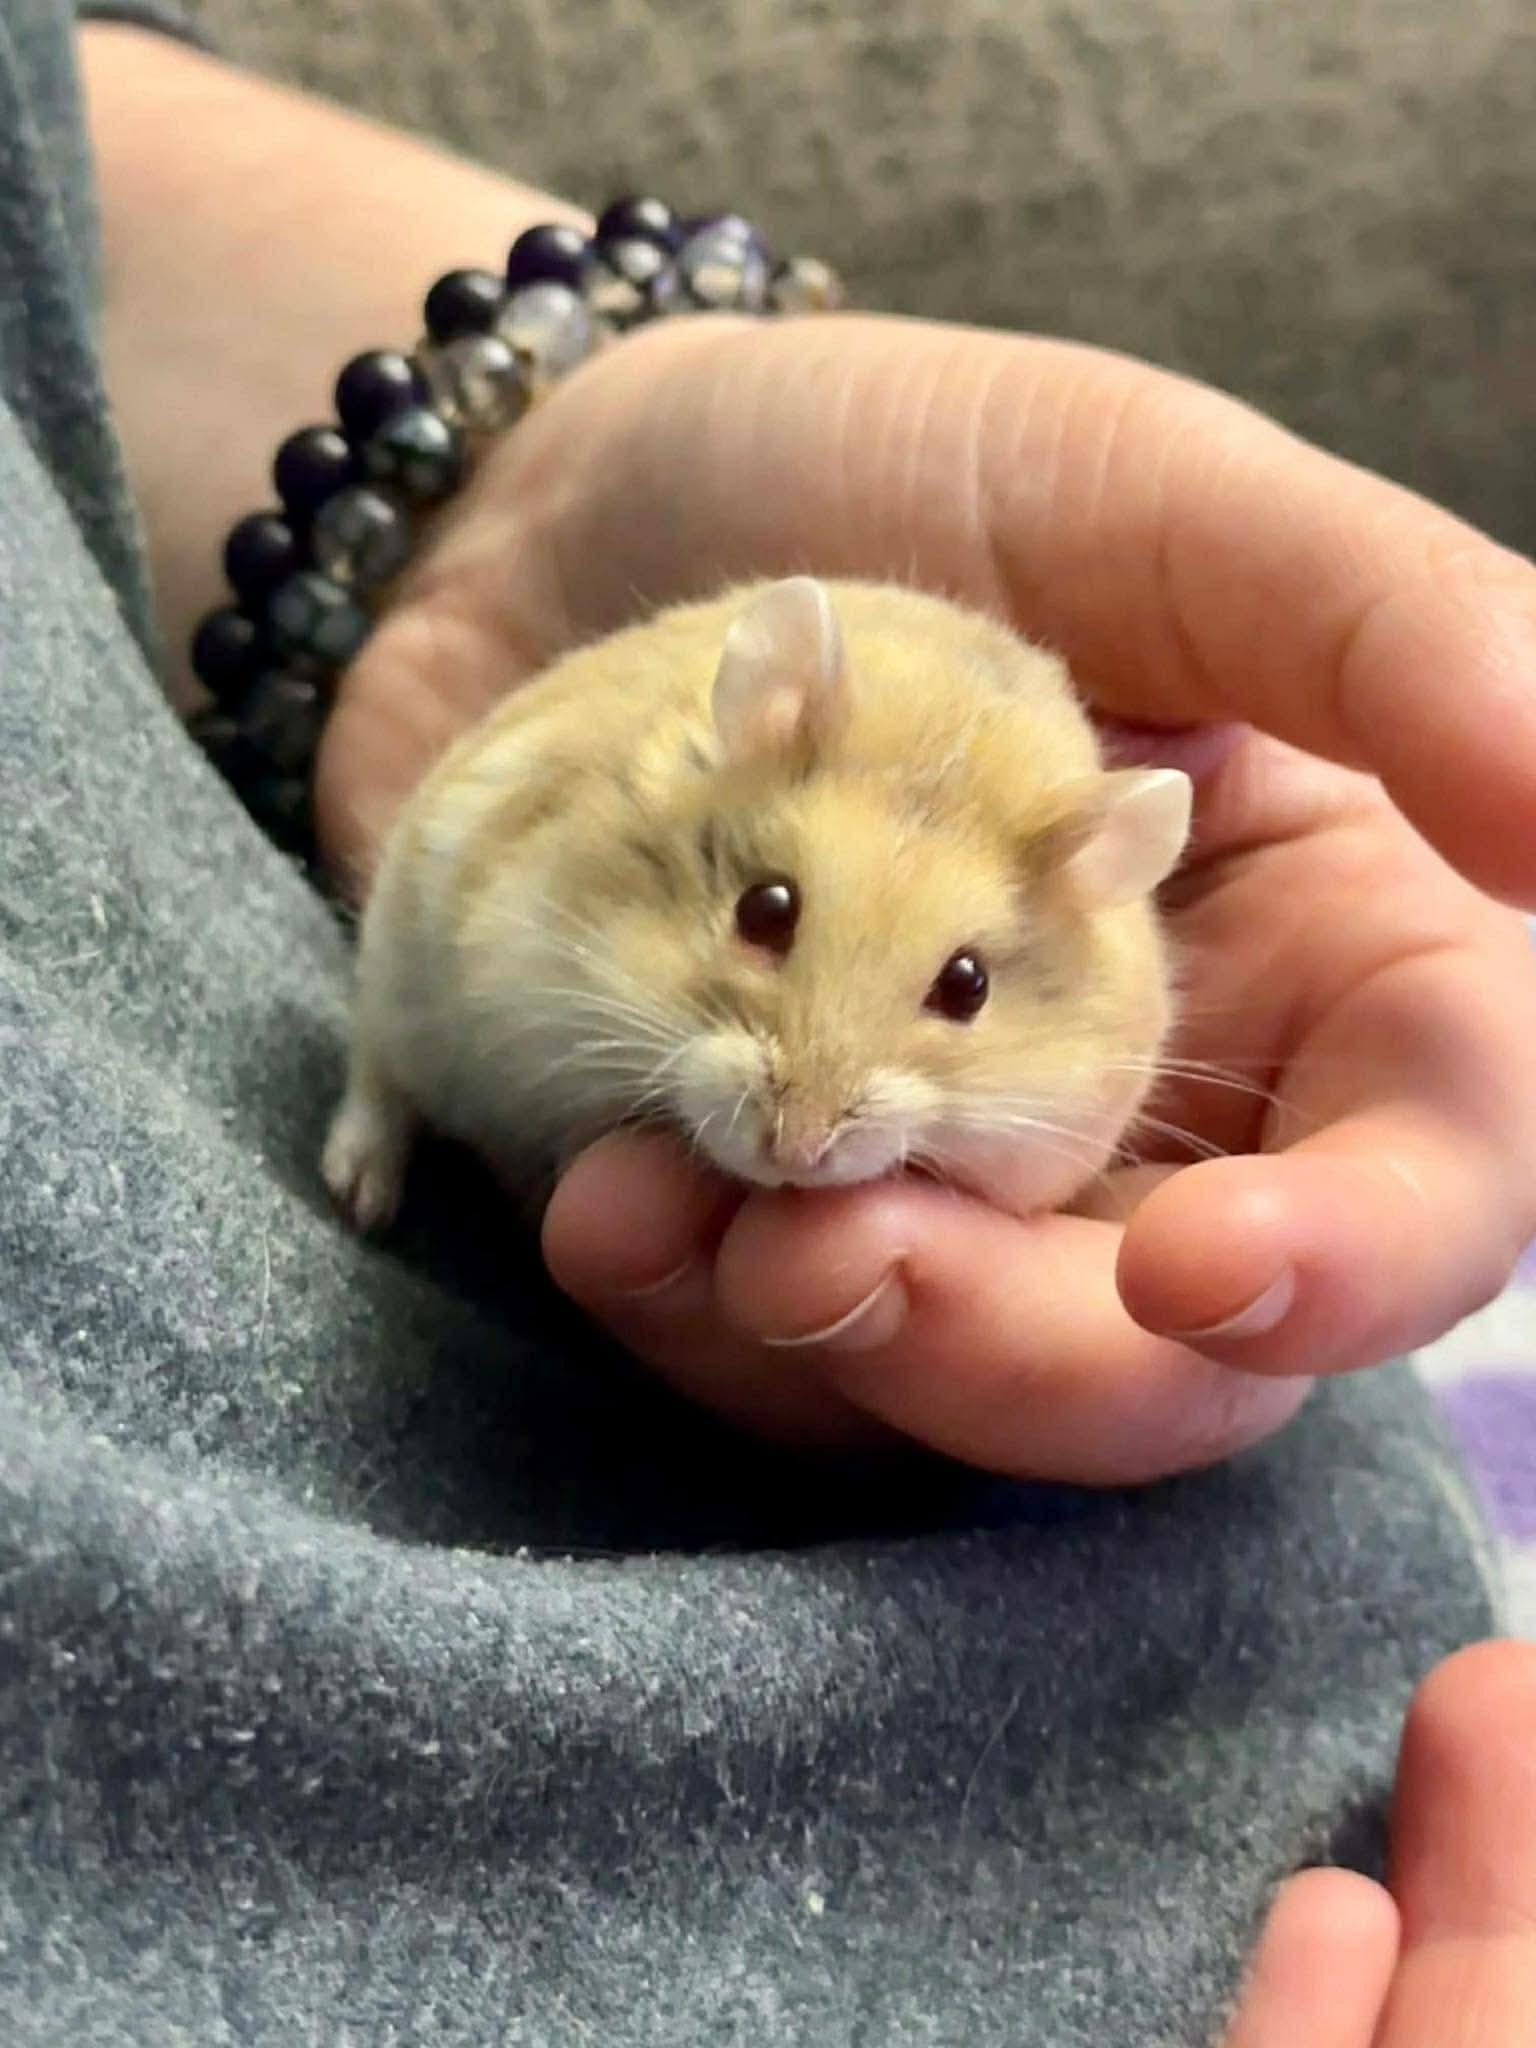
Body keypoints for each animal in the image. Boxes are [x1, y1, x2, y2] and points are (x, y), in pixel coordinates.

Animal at [322, 577, 1191, 1232]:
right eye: (765, 909)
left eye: (968, 986)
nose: (795, 1153)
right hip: (400, 952)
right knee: (376, 1068)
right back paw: (358, 1198)